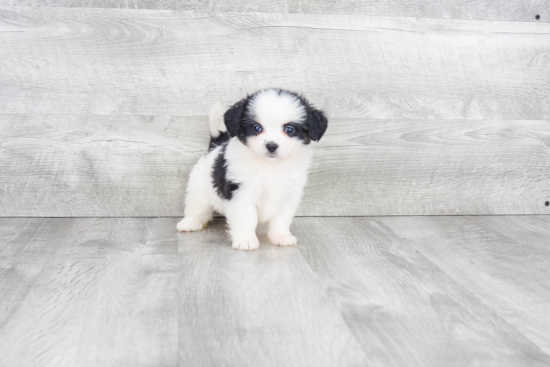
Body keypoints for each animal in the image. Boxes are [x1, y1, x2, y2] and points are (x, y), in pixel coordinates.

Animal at [177, 88, 328, 252]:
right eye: (257, 128)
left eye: (289, 129)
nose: (271, 145)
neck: (271, 166)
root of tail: (215, 147)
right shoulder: (242, 193)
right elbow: (246, 218)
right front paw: (246, 240)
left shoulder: (289, 196)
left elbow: (282, 219)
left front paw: (281, 237)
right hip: (199, 188)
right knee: (196, 207)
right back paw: (189, 223)